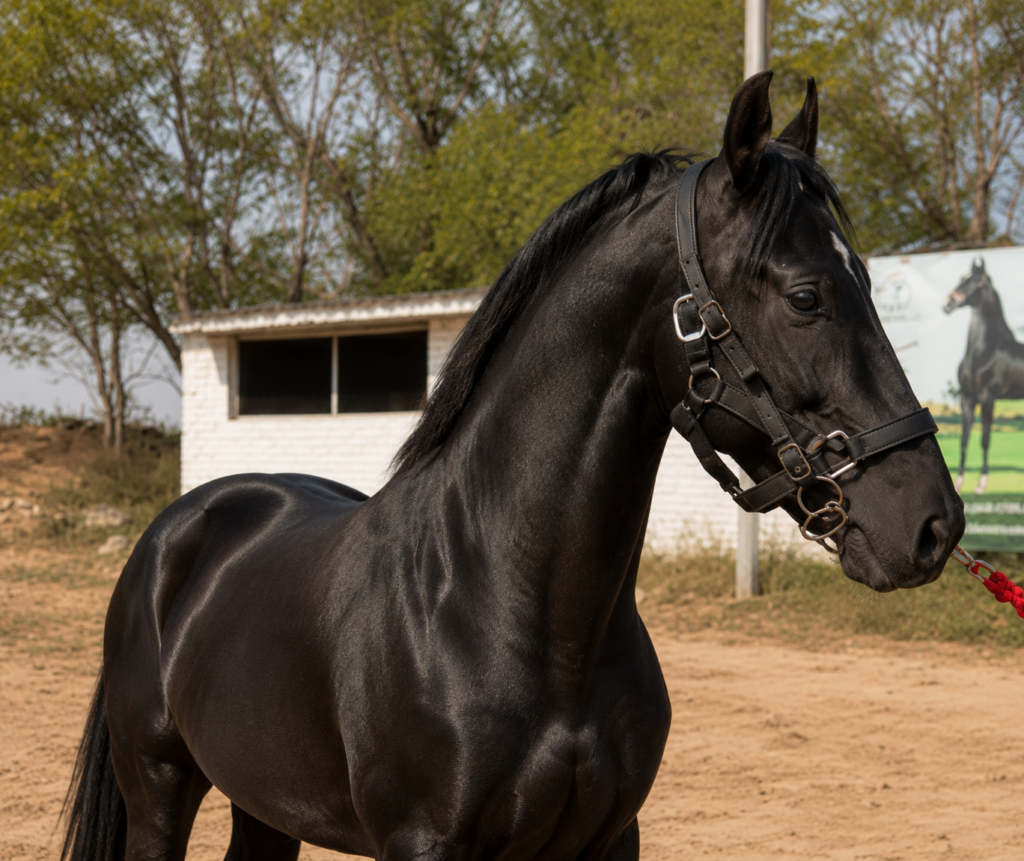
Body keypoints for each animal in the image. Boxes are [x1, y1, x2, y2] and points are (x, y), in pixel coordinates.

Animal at [62, 71, 963, 861]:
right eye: (805, 296)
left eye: (867, 281)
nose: (933, 524)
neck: (511, 608)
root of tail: (180, 528)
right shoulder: (424, 843)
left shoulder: (609, 839)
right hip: (160, 785)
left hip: (265, 801)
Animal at [943, 258, 1024, 493]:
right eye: (962, 278)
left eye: (976, 282)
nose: (948, 304)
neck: (982, 351)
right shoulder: (967, 399)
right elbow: (964, 440)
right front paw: (959, 483)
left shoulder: (988, 397)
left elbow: (985, 439)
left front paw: (982, 483)